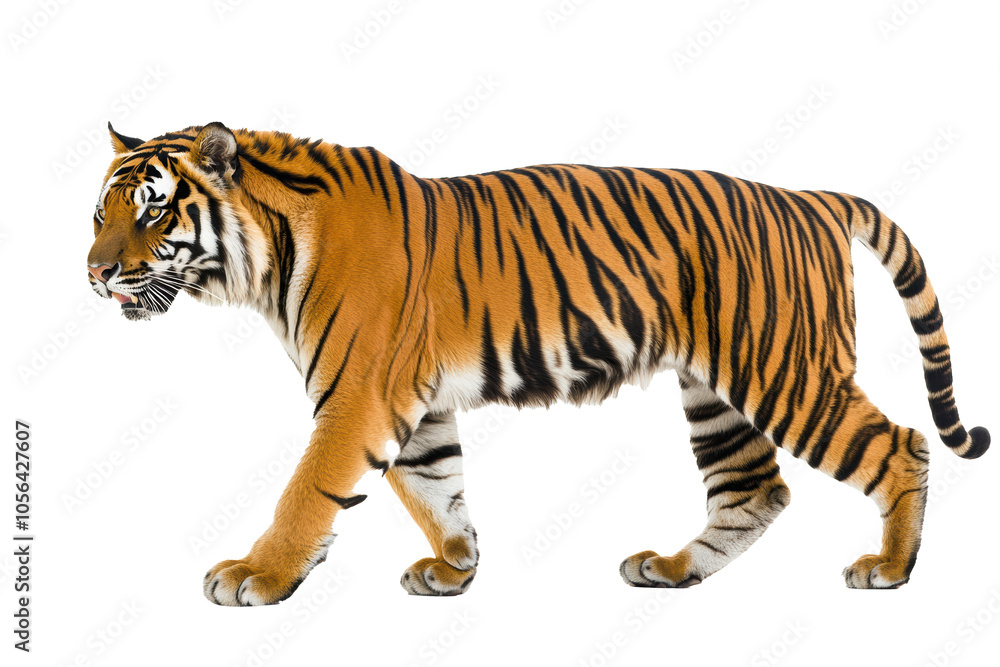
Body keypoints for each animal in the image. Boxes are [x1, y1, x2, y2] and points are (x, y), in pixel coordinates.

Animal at [86, 121, 989, 605]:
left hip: (786, 373)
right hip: (717, 391)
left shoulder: (357, 395)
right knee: (754, 492)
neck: (267, 257)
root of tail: (808, 196)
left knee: (901, 445)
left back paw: (890, 567)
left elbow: (307, 492)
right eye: (100, 214)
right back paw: (670, 569)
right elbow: (436, 486)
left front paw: (258, 574)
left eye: (154, 211)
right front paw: (455, 568)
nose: (95, 273)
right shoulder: (411, 403)